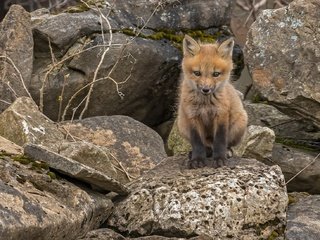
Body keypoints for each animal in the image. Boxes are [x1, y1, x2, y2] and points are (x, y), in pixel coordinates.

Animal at [178, 34, 248, 169]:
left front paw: (220, 158)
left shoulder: (221, 115)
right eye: (197, 73)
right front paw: (197, 159)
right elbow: (197, 143)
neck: (205, 104)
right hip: (182, 126)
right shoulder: (192, 116)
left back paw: (226, 151)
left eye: (216, 74)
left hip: (240, 123)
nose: (206, 89)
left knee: (225, 144)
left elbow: (220, 141)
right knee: (206, 146)